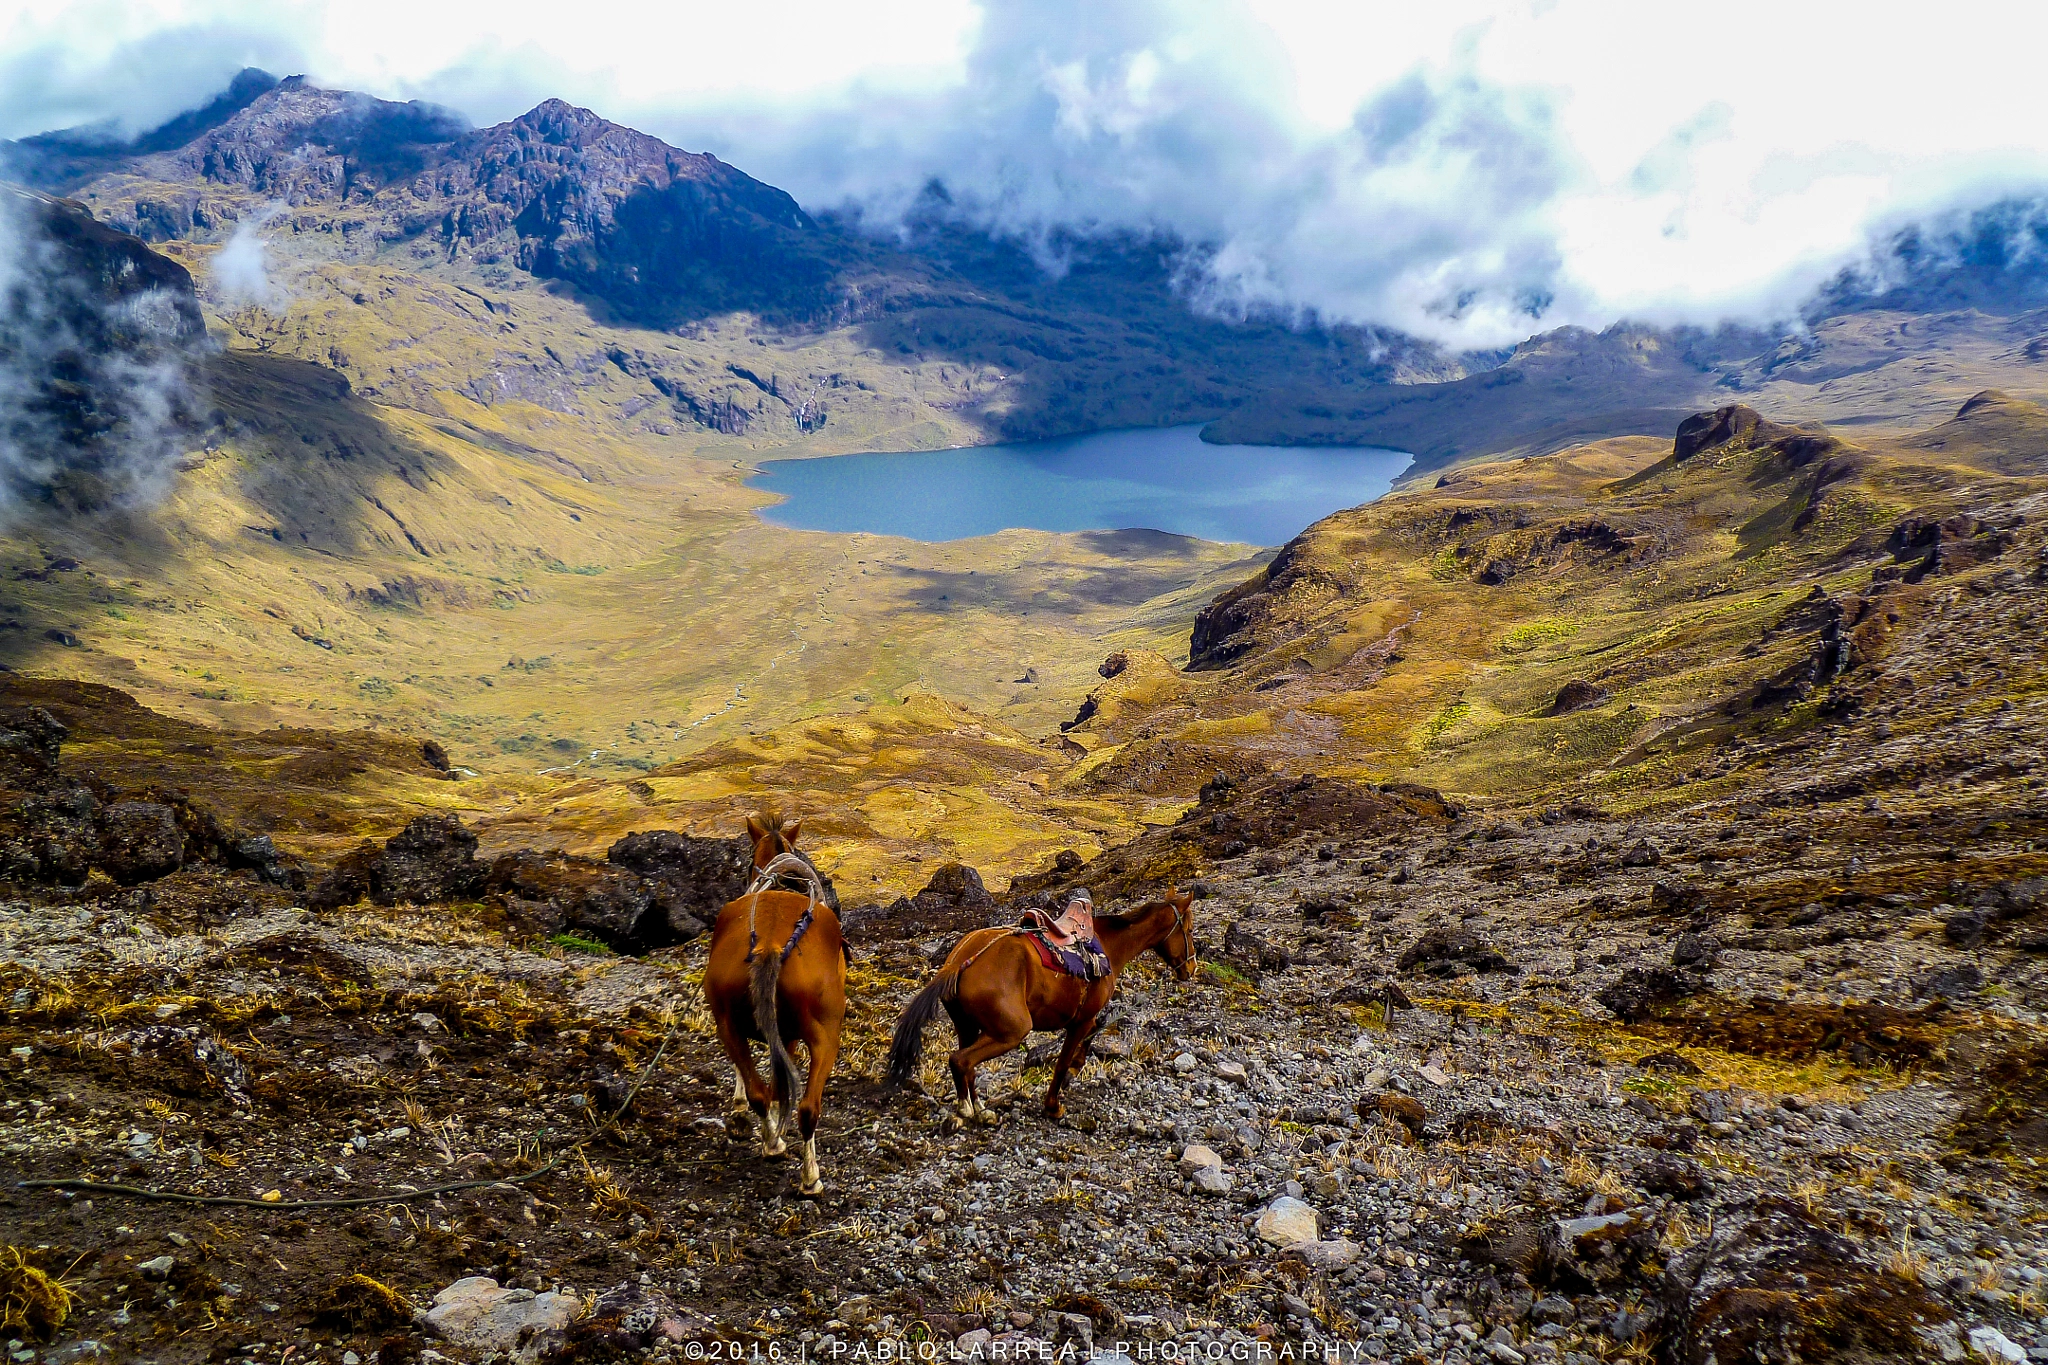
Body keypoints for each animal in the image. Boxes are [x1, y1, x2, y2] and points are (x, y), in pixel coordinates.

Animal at [696, 818, 839, 1186]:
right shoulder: (787, 1035)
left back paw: (775, 1145)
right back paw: (806, 1172)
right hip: (826, 1034)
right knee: (805, 1106)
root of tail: (770, 946)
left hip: (728, 1025)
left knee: (762, 1093)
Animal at [884, 892, 1196, 1129]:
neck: (1109, 945)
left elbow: (1090, 1038)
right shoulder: (1080, 1020)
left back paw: (981, 1109)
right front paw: (1053, 1105)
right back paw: (966, 1109)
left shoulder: (1086, 1018)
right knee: (960, 1061)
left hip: (968, 1026)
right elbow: (1063, 1060)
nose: (1191, 968)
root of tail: (958, 962)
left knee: (968, 1065)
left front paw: (1073, 1072)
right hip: (1010, 1033)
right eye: (1190, 930)